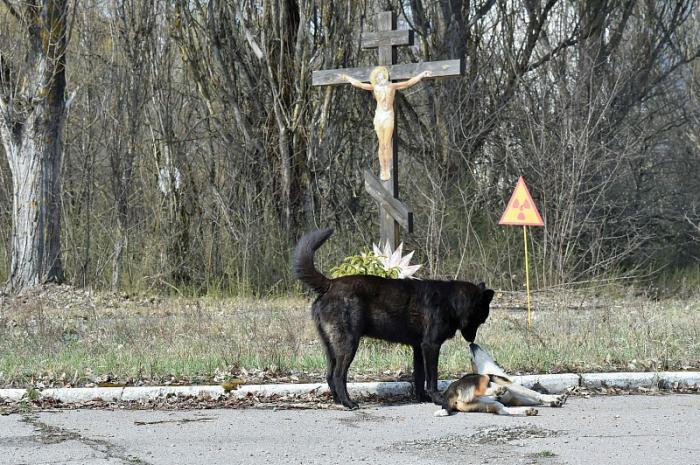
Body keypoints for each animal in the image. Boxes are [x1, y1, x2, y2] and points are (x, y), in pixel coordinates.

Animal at [292, 229, 494, 410]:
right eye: (481, 320)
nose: (472, 340)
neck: (451, 301)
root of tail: (330, 284)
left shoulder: (419, 349)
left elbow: (419, 377)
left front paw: (422, 398)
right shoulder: (431, 346)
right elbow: (432, 377)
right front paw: (437, 398)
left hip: (331, 347)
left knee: (329, 375)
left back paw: (338, 401)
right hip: (348, 345)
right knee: (338, 375)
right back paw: (348, 403)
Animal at [434, 340, 568, 416]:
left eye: (471, 358)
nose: (471, 344)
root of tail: (450, 392)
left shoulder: (518, 398)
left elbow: (534, 398)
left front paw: (556, 400)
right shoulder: (510, 384)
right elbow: (535, 394)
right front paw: (553, 398)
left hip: (486, 403)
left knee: (502, 410)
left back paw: (526, 411)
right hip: (482, 381)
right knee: (482, 390)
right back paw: (498, 390)